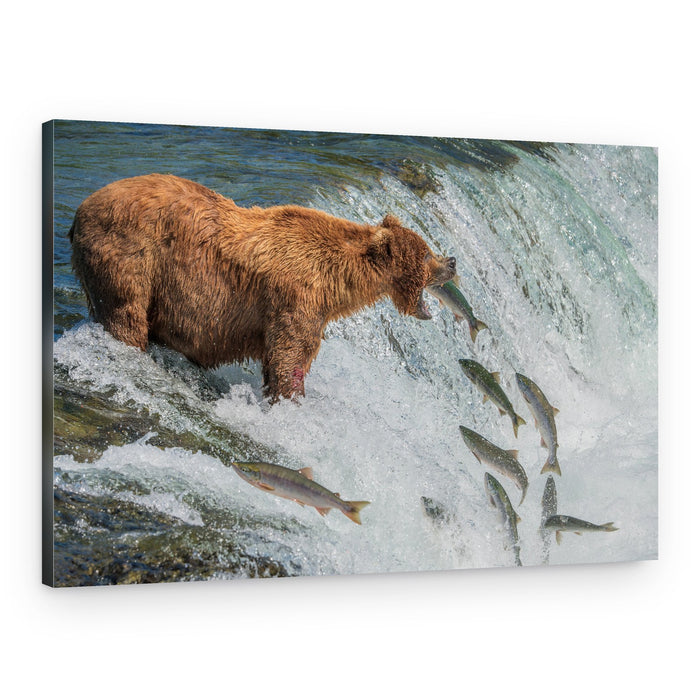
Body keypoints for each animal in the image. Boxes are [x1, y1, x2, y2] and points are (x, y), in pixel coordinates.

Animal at [69, 173, 457, 401]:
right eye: (426, 254)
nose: (452, 261)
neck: (337, 280)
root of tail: (81, 209)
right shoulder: (296, 298)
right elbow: (291, 356)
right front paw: (290, 399)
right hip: (129, 255)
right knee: (125, 314)